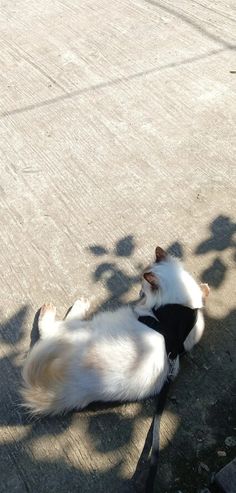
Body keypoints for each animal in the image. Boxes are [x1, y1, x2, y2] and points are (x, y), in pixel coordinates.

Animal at [20, 246, 208, 416]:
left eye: (143, 286)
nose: (139, 292)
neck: (181, 307)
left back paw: (65, 307)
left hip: (79, 328)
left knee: (51, 329)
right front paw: (204, 288)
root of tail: (66, 389)